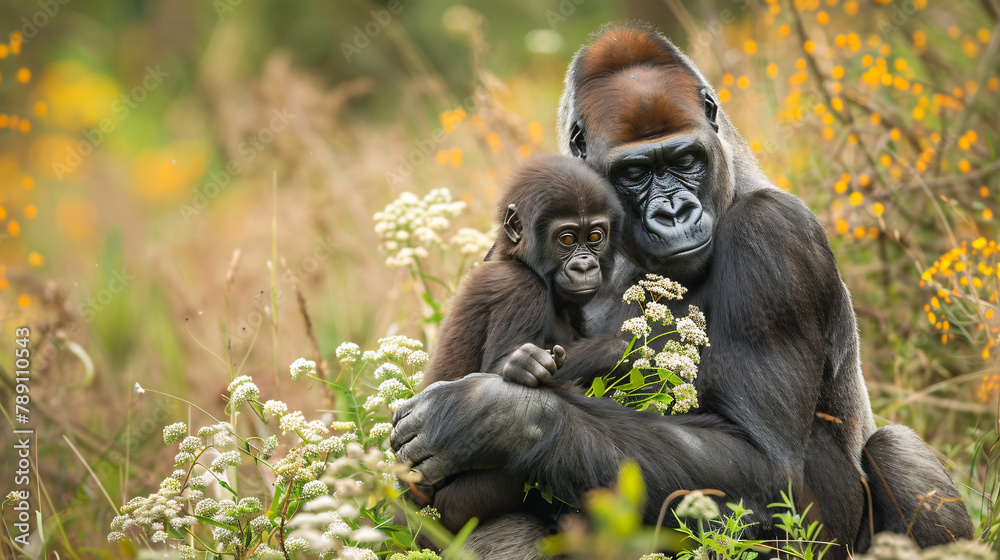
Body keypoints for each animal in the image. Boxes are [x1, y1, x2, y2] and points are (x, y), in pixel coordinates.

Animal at [410, 152, 620, 532]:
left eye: (595, 235)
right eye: (567, 239)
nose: (585, 266)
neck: (517, 258)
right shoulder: (521, 290)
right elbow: (498, 380)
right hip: (451, 512)